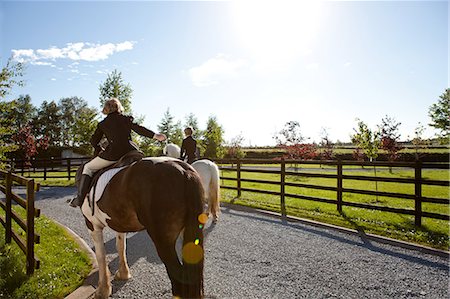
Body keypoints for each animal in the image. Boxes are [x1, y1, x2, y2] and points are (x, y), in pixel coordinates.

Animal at [76, 158, 206, 298]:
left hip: (163, 242)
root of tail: (183, 171)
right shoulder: (119, 225)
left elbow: (101, 255)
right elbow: (121, 247)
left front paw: (102, 290)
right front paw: (123, 274)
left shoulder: (92, 225)